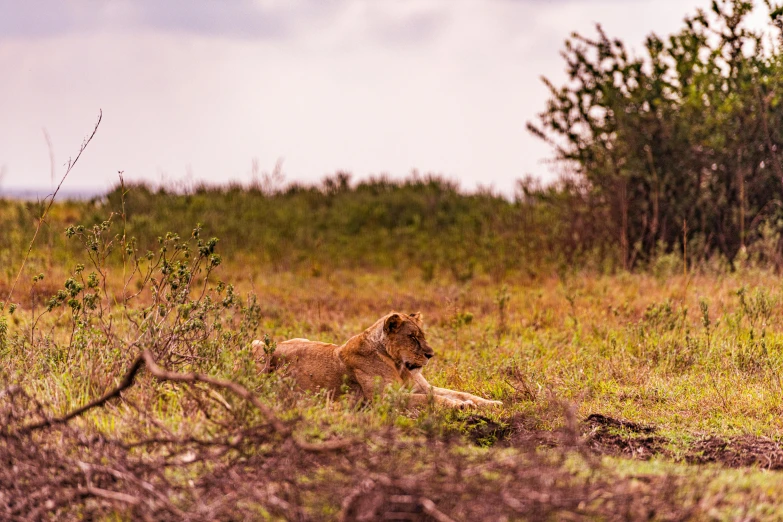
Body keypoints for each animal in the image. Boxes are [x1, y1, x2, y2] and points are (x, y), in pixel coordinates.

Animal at [254, 310, 506, 408]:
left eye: (423, 335)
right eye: (412, 337)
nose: (430, 355)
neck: (399, 365)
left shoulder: (422, 387)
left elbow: (460, 393)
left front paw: (493, 403)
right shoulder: (385, 398)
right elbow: (433, 400)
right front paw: (462, 406)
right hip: (258, 348)